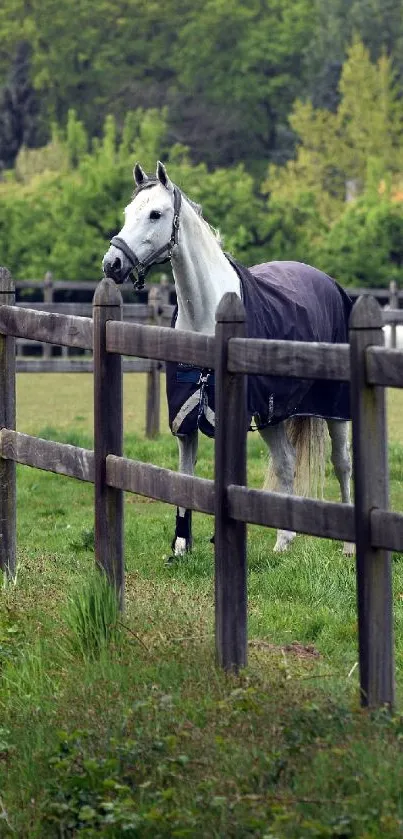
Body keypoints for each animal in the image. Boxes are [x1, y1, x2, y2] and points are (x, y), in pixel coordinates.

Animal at [103, 162, 354, 556]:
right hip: (272, 414)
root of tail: (328, 282)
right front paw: (181, 545)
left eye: (155, 213)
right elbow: (184, 476)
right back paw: (283, 541)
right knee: (286, 462)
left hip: (334, 407)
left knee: (341, 463)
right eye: (129, 212)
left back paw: (348, 547)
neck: (207, 313)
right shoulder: (185, 418)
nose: (112, 264)